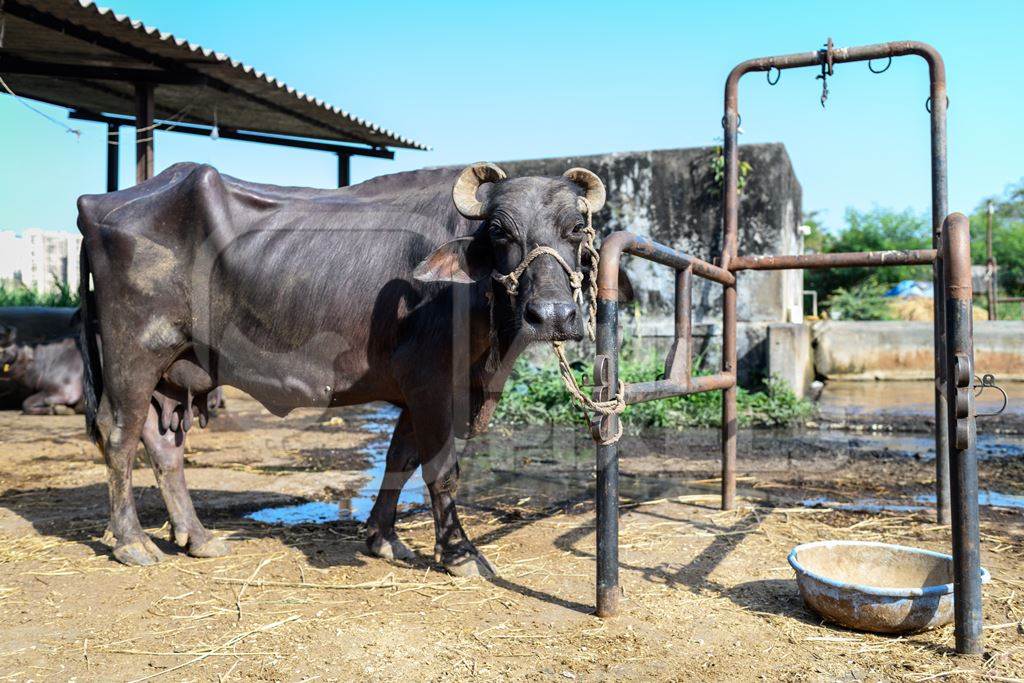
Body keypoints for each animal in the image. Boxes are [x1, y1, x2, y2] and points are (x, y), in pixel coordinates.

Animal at [75, 162, 618, 573]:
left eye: (575, 230)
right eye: (502, 232)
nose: (552, 315)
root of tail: (96, 206)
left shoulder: (415, 392)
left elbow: (399, 460)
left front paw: (382, 538)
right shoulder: (431, 384)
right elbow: (442, 469)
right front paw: (459, 553)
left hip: (172, 365)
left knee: (162, 443)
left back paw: (197, 536)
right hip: (134, 354)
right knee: (118, 434)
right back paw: (132, 542)